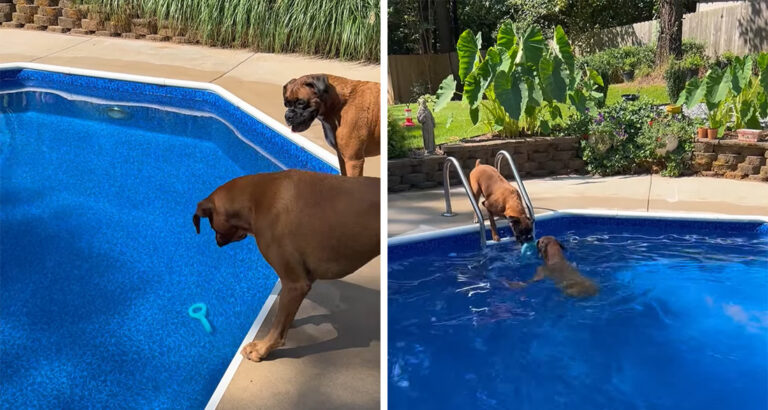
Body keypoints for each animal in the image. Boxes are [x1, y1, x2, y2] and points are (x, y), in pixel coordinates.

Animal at [194, 170, 380, 362]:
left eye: (211, 224)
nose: (217, 242)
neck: (257, 197)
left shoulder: (295, 283)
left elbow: (278, 326)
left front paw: (262, 348)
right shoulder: (305, 278)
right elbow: (285, 316)